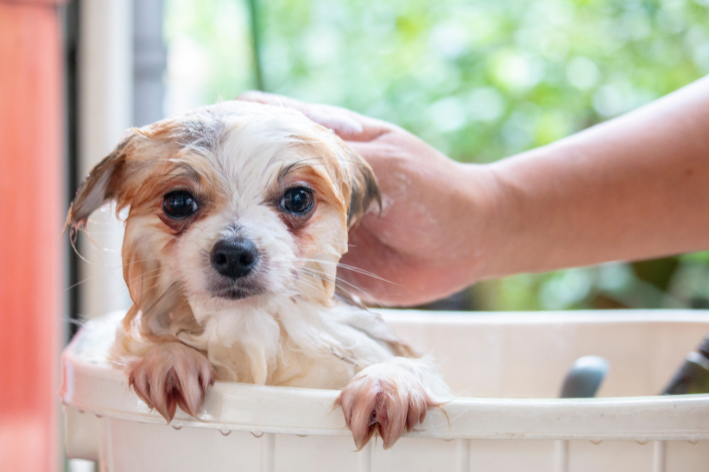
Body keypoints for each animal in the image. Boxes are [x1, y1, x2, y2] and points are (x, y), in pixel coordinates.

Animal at [69, 101, 450, 448]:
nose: (234, 254)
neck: (248, 326)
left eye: (297, 198)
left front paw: (387, 383)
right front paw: (169, 357)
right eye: (178, 202)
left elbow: (405, 363)